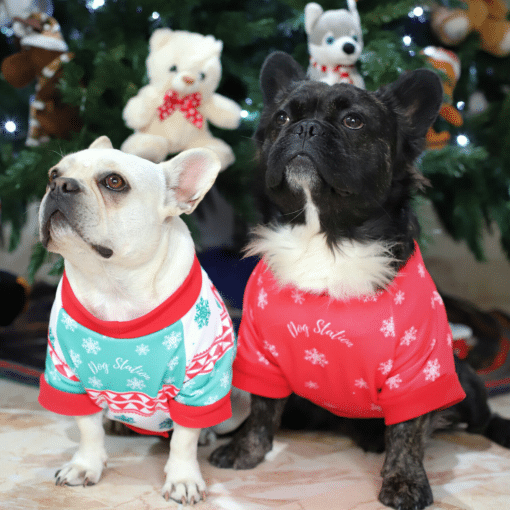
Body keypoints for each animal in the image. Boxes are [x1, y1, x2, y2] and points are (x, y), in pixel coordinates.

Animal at [38, 136, 237, 506]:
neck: (114, 285)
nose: (60, 185)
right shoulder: (67, 375)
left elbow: (184, 438)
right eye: (52, 174)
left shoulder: (201, 381)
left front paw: (183, 478)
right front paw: (85, 465)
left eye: (114, 182)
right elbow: (87, 428)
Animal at [209, 52, 510, 510]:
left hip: (467, 385)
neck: (327, 238)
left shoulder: (416, 370)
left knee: (482, 419)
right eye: (281, 117)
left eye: (353, 121)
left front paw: (404, 481)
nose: (305, 128)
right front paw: (245, 449)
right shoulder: (261, 356)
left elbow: (407, 432)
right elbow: (261, 409)